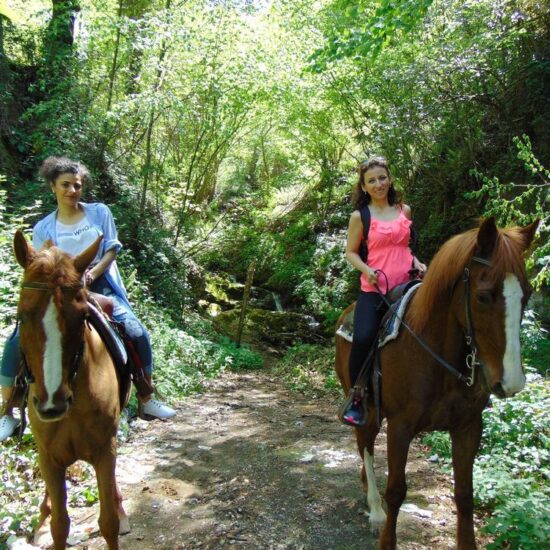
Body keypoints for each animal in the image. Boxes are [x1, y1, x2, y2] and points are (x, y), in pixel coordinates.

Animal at [13, 232, 130, 550]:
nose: (52, 403)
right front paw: (47, 523)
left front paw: (117, 512)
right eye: (22, 316)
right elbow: (60, 525)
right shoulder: (49, 457)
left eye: (82, 317)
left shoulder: (105, 450)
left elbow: (108, 522)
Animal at [336, 220, 540, 550]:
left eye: (527, 294)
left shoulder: (468, 427)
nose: (511, 382)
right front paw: (387, 538)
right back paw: (375, 510)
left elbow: (465, 495)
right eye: (483, 296)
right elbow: (396, 490)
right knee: (364, 443)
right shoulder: (400, 426)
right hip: (365, 406)